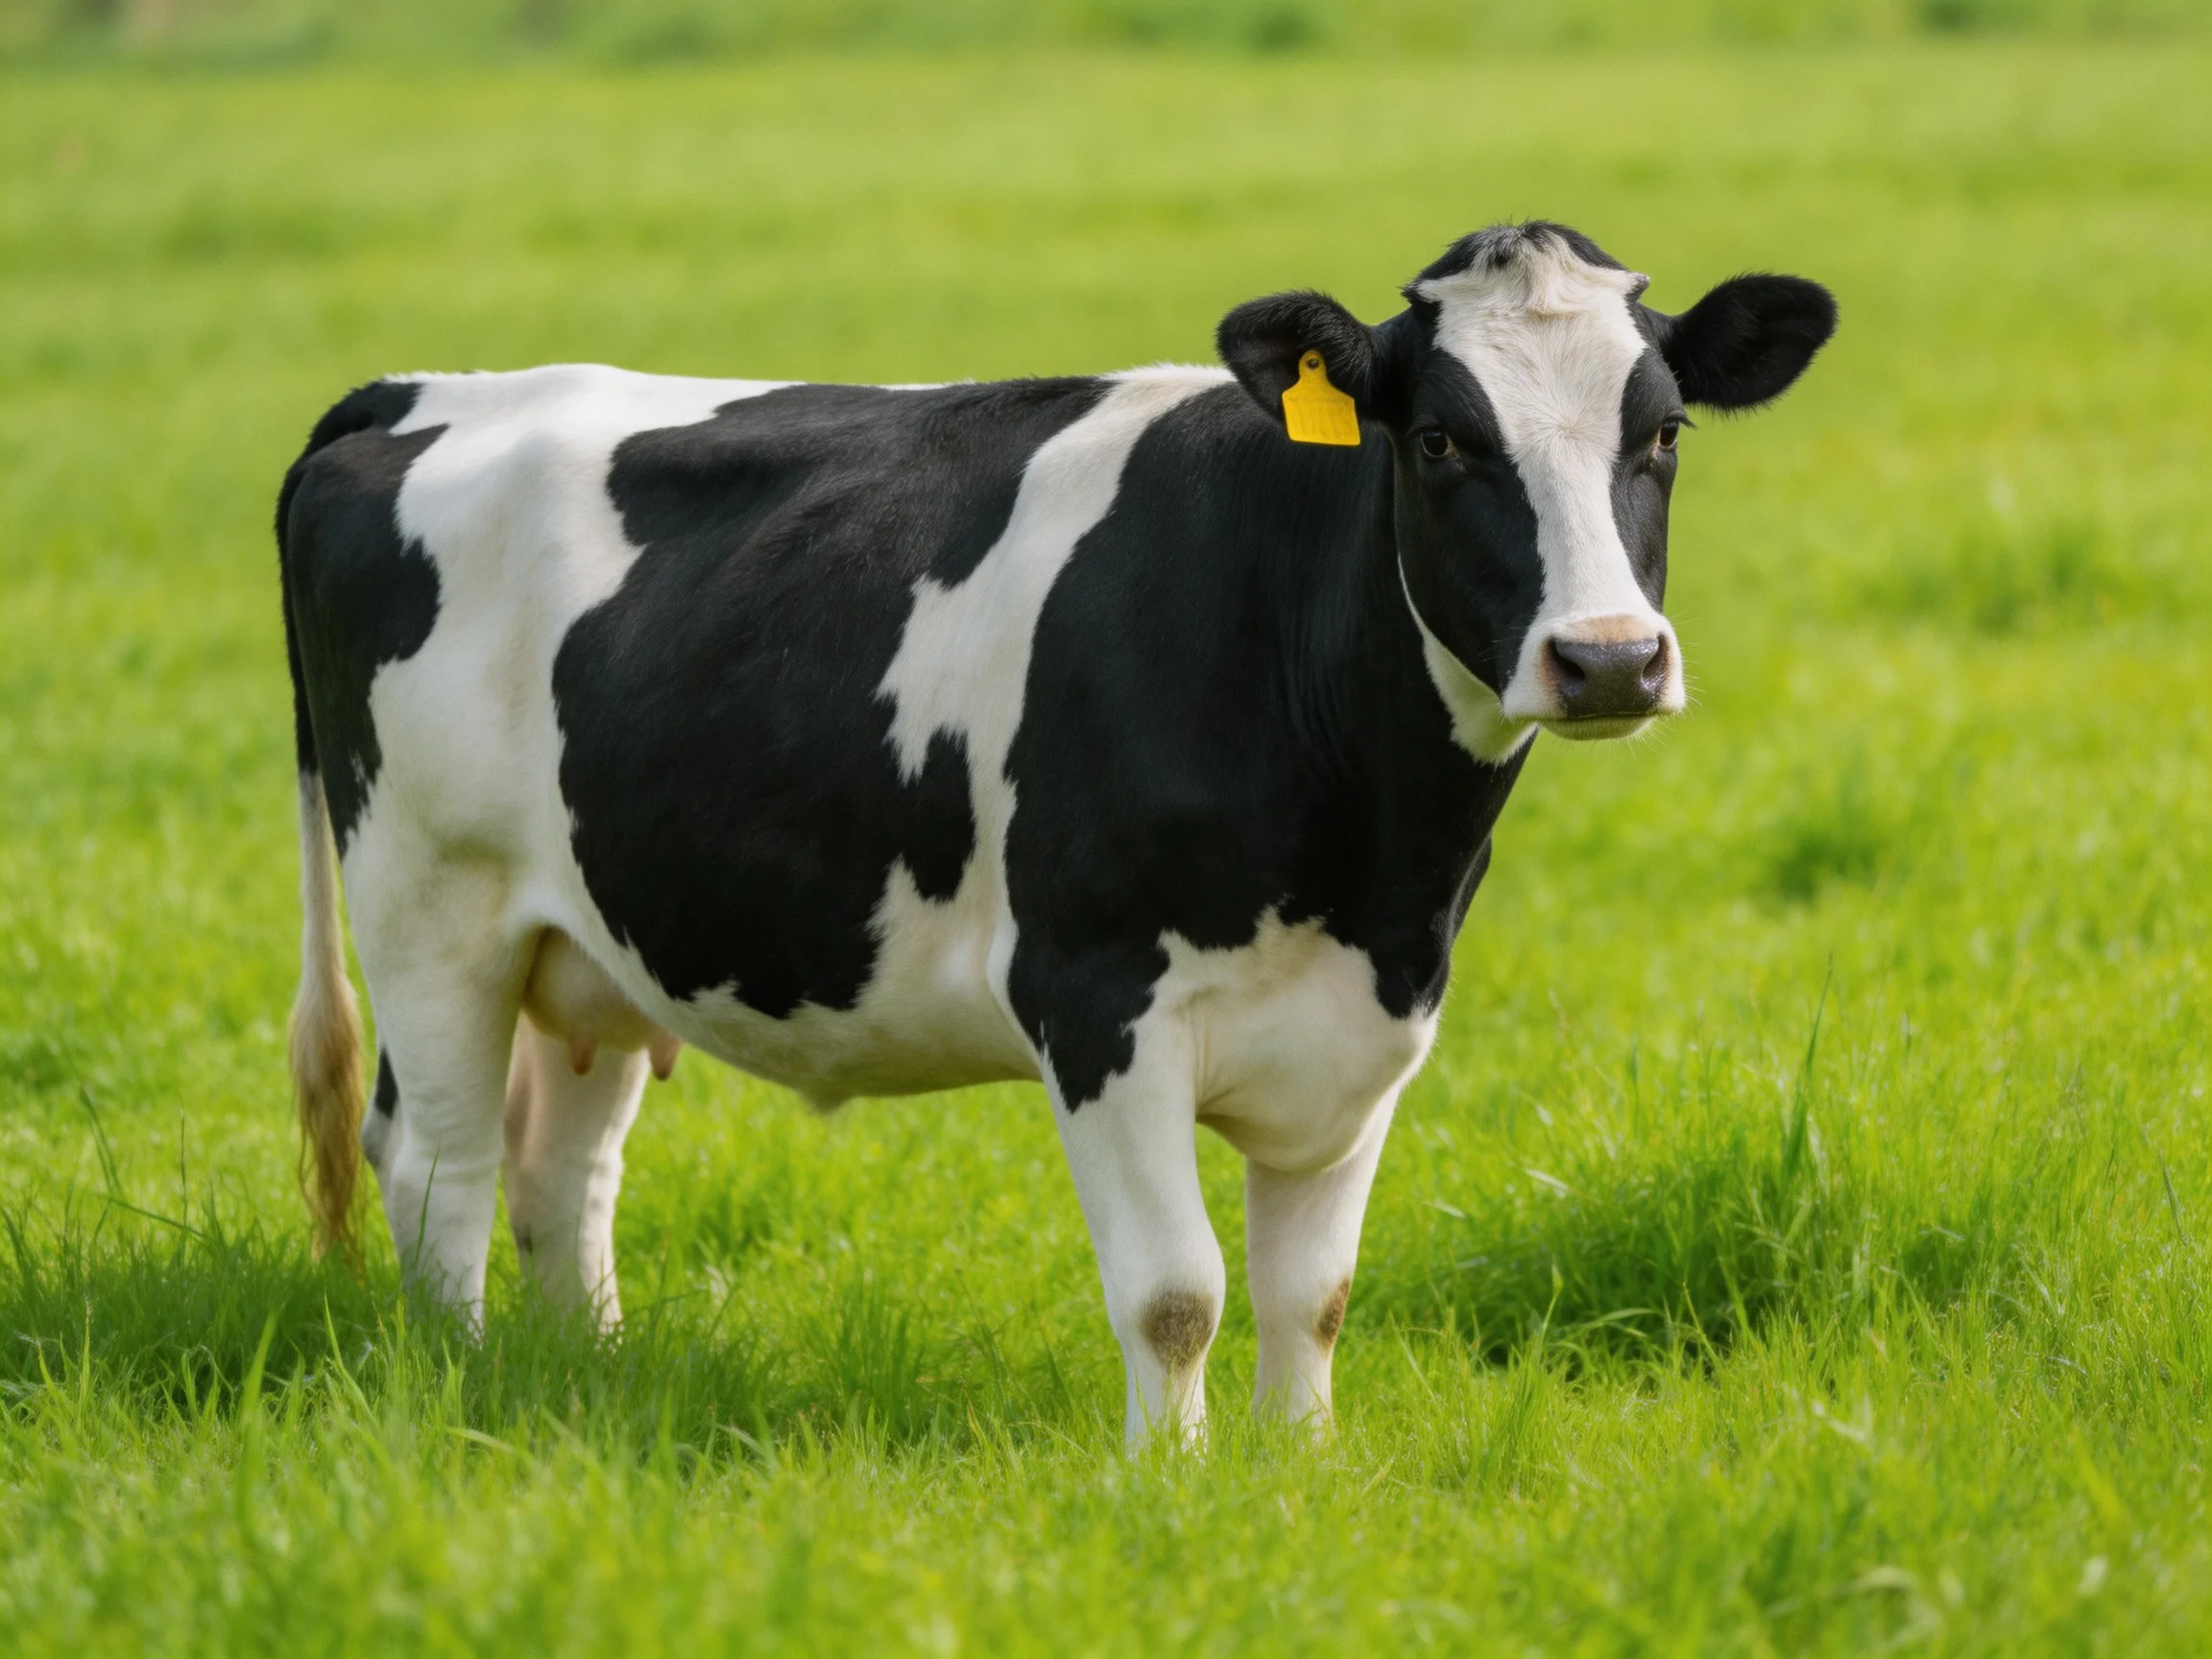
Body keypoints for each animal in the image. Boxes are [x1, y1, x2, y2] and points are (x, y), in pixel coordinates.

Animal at [278, 221, 1834, 1444]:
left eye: (1663, 434)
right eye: (1445, 439)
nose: (1610, 659)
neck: (1370, 862)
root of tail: (429, 391)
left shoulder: (1373, 1020)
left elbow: (1313, 1296)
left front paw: (1300, 1481)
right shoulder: (1097, 1001)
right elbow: (1178, 1296)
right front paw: (1178, 1493)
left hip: (593, 939)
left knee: (562, 1170)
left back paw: (584, 1381)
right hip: (430, 906)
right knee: (438, 1164)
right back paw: (463, 1386)